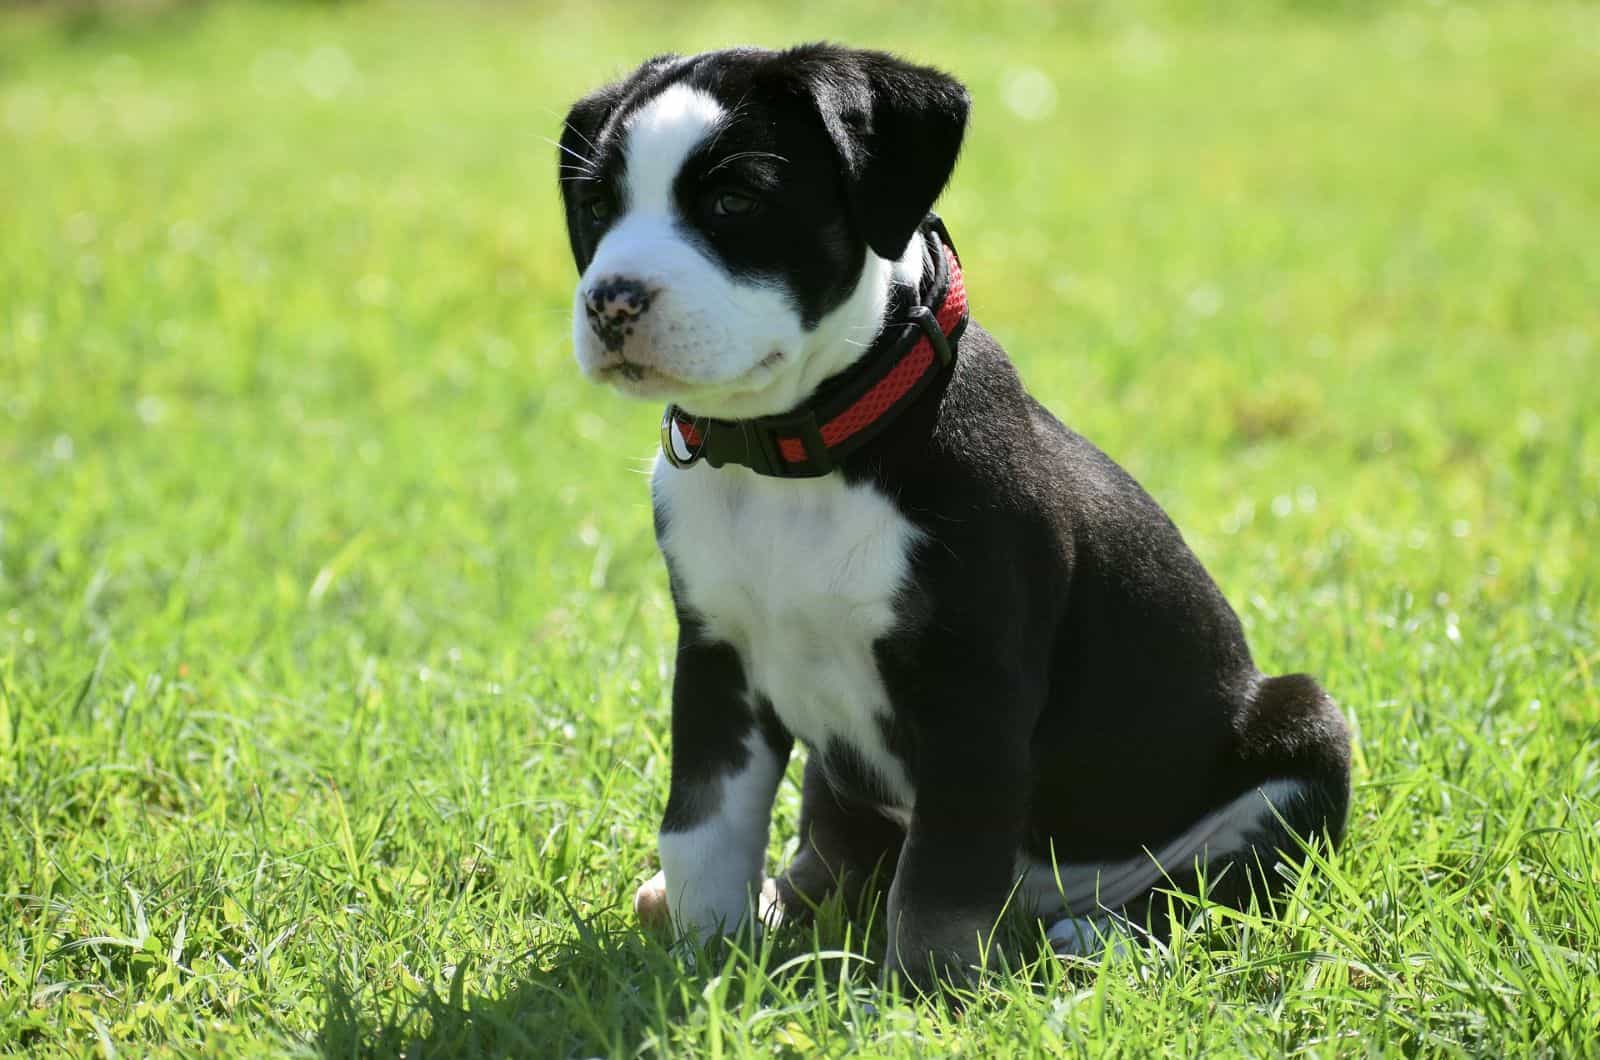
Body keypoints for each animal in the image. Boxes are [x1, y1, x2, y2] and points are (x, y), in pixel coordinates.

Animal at [560, 45, 1350, 992]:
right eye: (596, 208)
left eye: (734, 201)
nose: (612, 300)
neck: (799, 455)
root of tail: (1044, 896)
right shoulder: (715, 657)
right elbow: (704, 826)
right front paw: (701, 961)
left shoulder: (971, 688)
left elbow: (939, 878)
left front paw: (917, 997)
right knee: (841, 848)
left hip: (1304, 728)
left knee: (1212, 885)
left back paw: (1100, 938)